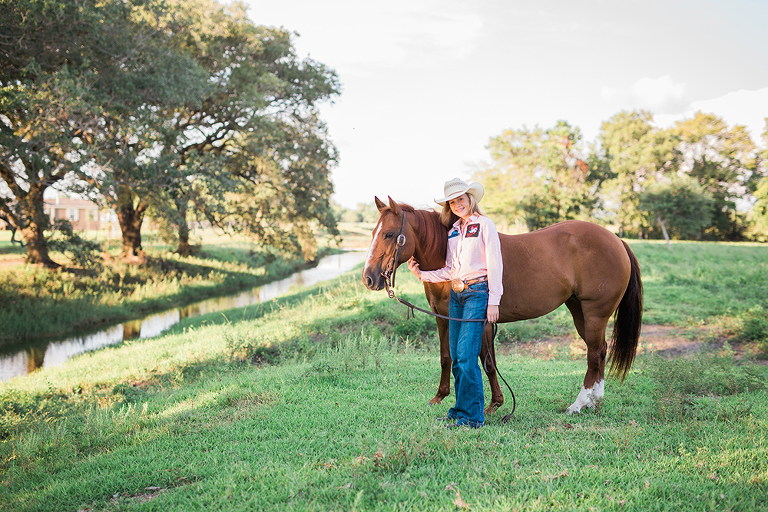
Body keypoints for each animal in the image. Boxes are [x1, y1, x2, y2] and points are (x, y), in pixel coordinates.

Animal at [362, 197, 643, 415]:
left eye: (388, 234)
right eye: (373, 233)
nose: (369, 278)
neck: (448, 259)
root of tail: (616, 239)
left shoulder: (482, 321)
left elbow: (487, 362)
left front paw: (494, 404)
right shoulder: (444, 318)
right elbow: (446, 357)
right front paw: (440, 396)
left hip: (595, 313)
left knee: (594, 353)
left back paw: (579, 404)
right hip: (579, 311)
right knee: (601, 350)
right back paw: (595, 401)